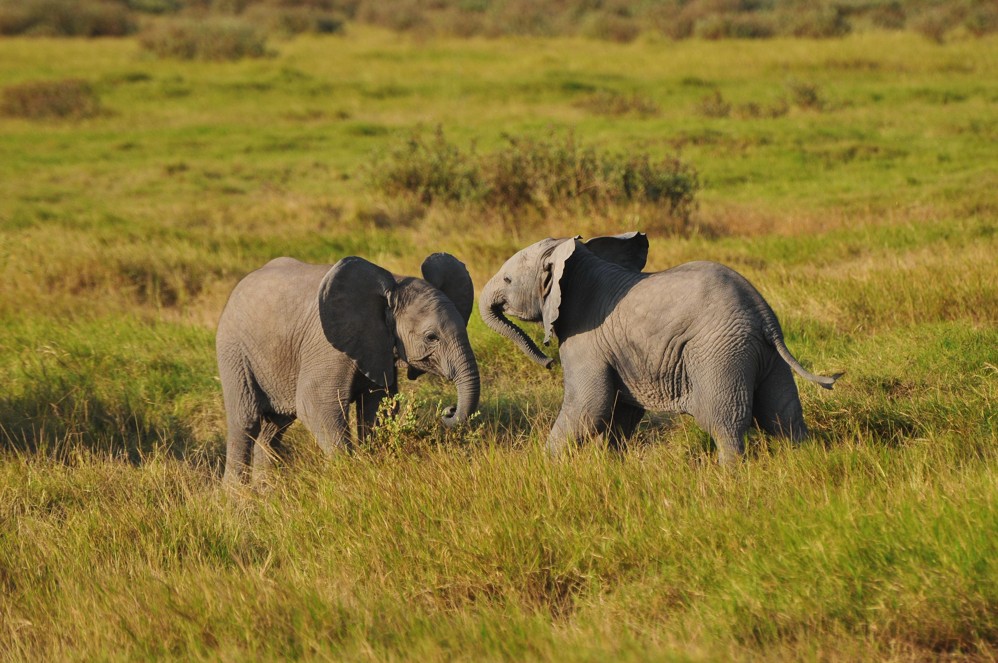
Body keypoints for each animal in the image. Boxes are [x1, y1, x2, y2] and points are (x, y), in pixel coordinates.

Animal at [218, 253, 480, 482]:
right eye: (431, 337)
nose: (449, 409)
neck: (393, 287)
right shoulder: (327, 348)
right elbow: (315, 404)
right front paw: (352, 473)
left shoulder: (376, 344)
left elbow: (378, 405)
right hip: (234, 351)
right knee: (246, 421)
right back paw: (239, 500)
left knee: (274, 427)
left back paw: (265, 493)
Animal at [480, 233, 840, 466]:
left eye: (508, 280)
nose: (547, 362)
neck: (577, 263)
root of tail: (762, 313)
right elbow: (621, 412)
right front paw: (610, 466)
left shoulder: (586, 340)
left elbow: (588, 406)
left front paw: (543, 467)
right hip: (763, 355)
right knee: (783, 416)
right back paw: (802, 461)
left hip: (719, 352)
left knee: (724, 421)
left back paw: (727, 475)